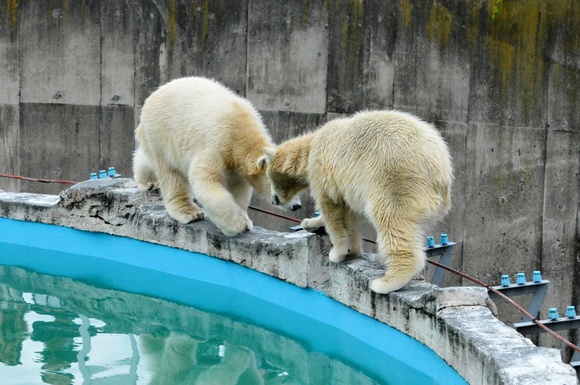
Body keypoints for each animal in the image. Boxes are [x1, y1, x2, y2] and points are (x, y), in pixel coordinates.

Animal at [134, 76, 302, 236]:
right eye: (282, 184)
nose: (297, 206)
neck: (241, 133)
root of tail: (154, 94)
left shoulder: (236, 164)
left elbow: (238, 189)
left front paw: (245, 220)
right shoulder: (217, 144)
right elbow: (205, 180)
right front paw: (238, 225)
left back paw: (148, 181)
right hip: (163, 133)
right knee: (171, 173)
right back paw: (189, 212)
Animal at [262, 109, 454, 292]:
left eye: (270, 178)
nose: (274, 200)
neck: (311, 146)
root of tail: (442, 173)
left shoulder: (324, 171)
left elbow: (332, 210)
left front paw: (337, 253)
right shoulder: (348, 184)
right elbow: (349, 215)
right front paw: (312, 224)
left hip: (397, 180)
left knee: (392, 219)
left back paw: (387, 281)